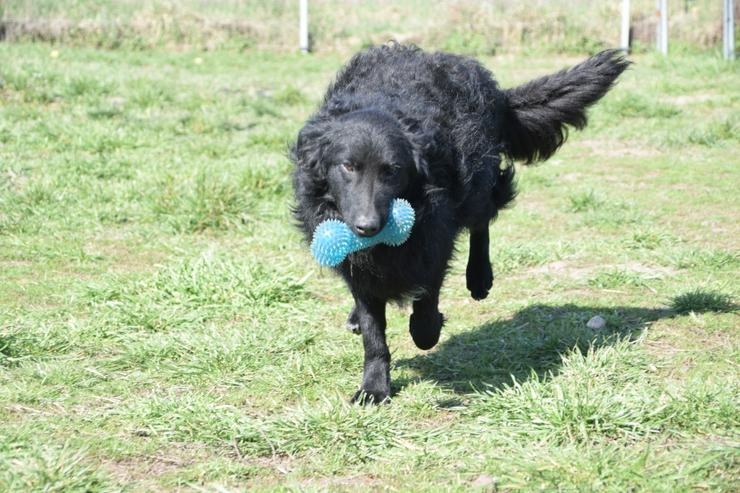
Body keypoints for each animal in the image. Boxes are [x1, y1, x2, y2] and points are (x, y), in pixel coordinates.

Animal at [292, 44, 628, 402]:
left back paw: (479, 277)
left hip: (477, 179)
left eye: (392, 170)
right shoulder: (358, 267)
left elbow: (426, 303)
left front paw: (427, 328)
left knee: (482, 222)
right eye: (348, 166)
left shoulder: (434, 239)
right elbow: (373, 330)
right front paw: (374, 387)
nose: (367, 227)